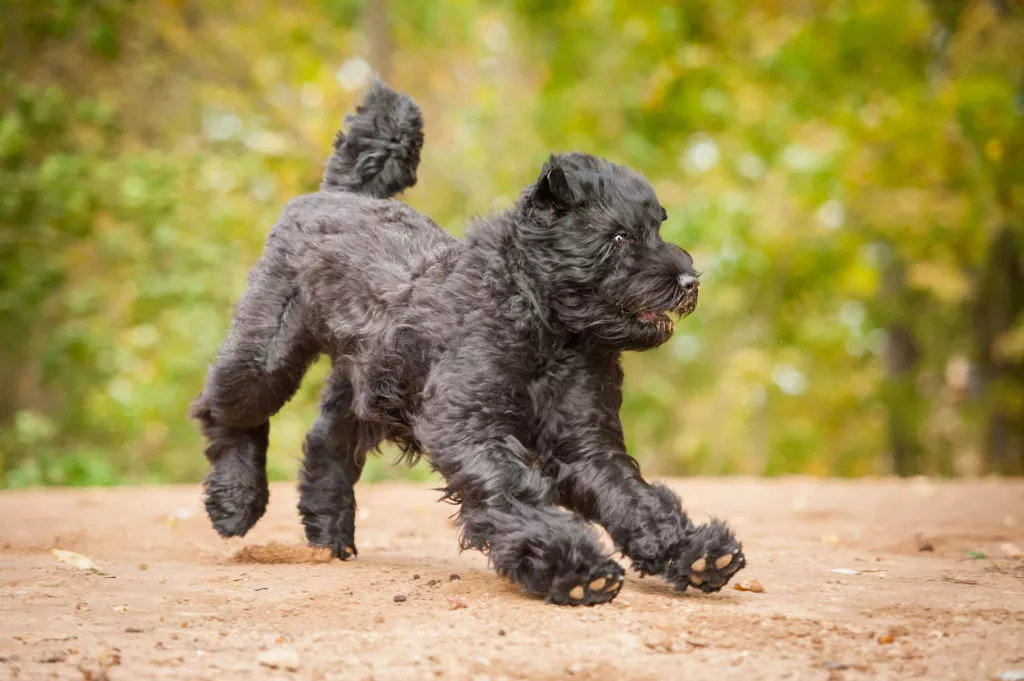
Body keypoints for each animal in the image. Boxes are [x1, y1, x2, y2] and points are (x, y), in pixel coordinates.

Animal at [193, 80, 745, 606]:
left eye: (657, 227)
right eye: (619, 237)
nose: (690, 280)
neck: (544, 323)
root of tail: (337, 193)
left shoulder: (584, 442)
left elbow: (633, 496)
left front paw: (692, 551)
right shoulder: (471, 427)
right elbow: (514, 493)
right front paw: (572, 568)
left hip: (366, 387)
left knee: (325, 442)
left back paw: (330, 535)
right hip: (266, 357)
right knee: (222, 413)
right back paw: (235, 503)